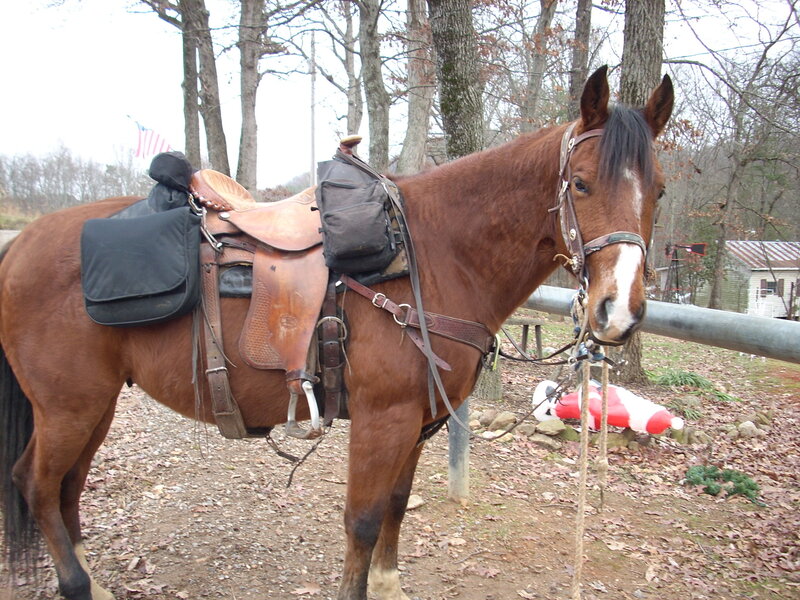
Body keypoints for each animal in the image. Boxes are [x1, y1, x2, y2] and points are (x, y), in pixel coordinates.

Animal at [0, 66, 673, 600]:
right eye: (580, 182)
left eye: (660, 190)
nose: (618, 311)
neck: (432, 255)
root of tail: (20, 245)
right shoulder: (383, 419)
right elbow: (364, 521)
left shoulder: (417, 420)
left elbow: (397, 508)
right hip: (69, 406)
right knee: (36, 484)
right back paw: (77, 585)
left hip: (95, 404)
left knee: (66, 487)